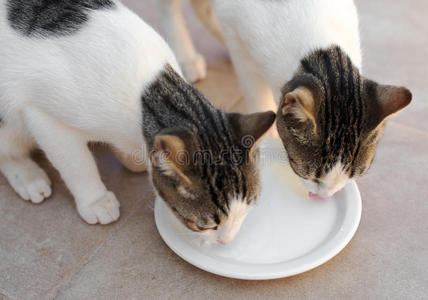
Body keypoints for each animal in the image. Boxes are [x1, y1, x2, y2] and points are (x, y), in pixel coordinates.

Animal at [0, 0, 274, 244]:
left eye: (246, 211)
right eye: (206, 225)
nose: (226, 242)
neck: (148, 90)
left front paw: (131, 158)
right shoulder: (42, 116)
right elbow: (76, 163)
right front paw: (95, 199)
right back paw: (28, 176)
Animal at [160, 0, 412, 198]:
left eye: (353, 174)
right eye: (309, 174)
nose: (324, 196)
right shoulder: (238, 35)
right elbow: (255, 89)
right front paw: (266, 137)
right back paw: (185, 56)